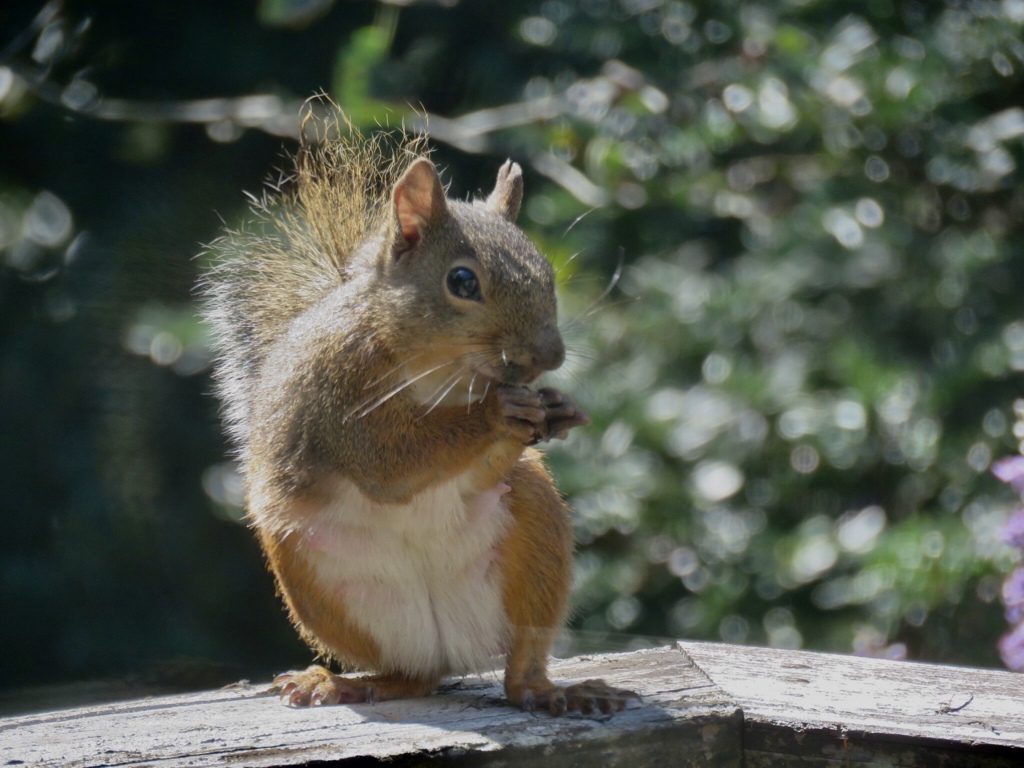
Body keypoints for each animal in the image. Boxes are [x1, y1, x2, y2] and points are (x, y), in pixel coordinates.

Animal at [197, 112, 638, 716]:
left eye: (547, 272)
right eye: (462, 281)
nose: (549, 358)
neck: (441, 372)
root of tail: (450, 644)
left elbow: (474, 468)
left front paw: (557, 408)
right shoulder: (337, 401)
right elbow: (391, 464)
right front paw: (498, 412)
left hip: (536, 532)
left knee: (511, 672)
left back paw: (555, 692)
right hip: (316, 582)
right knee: (410, 674)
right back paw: (338, 682)